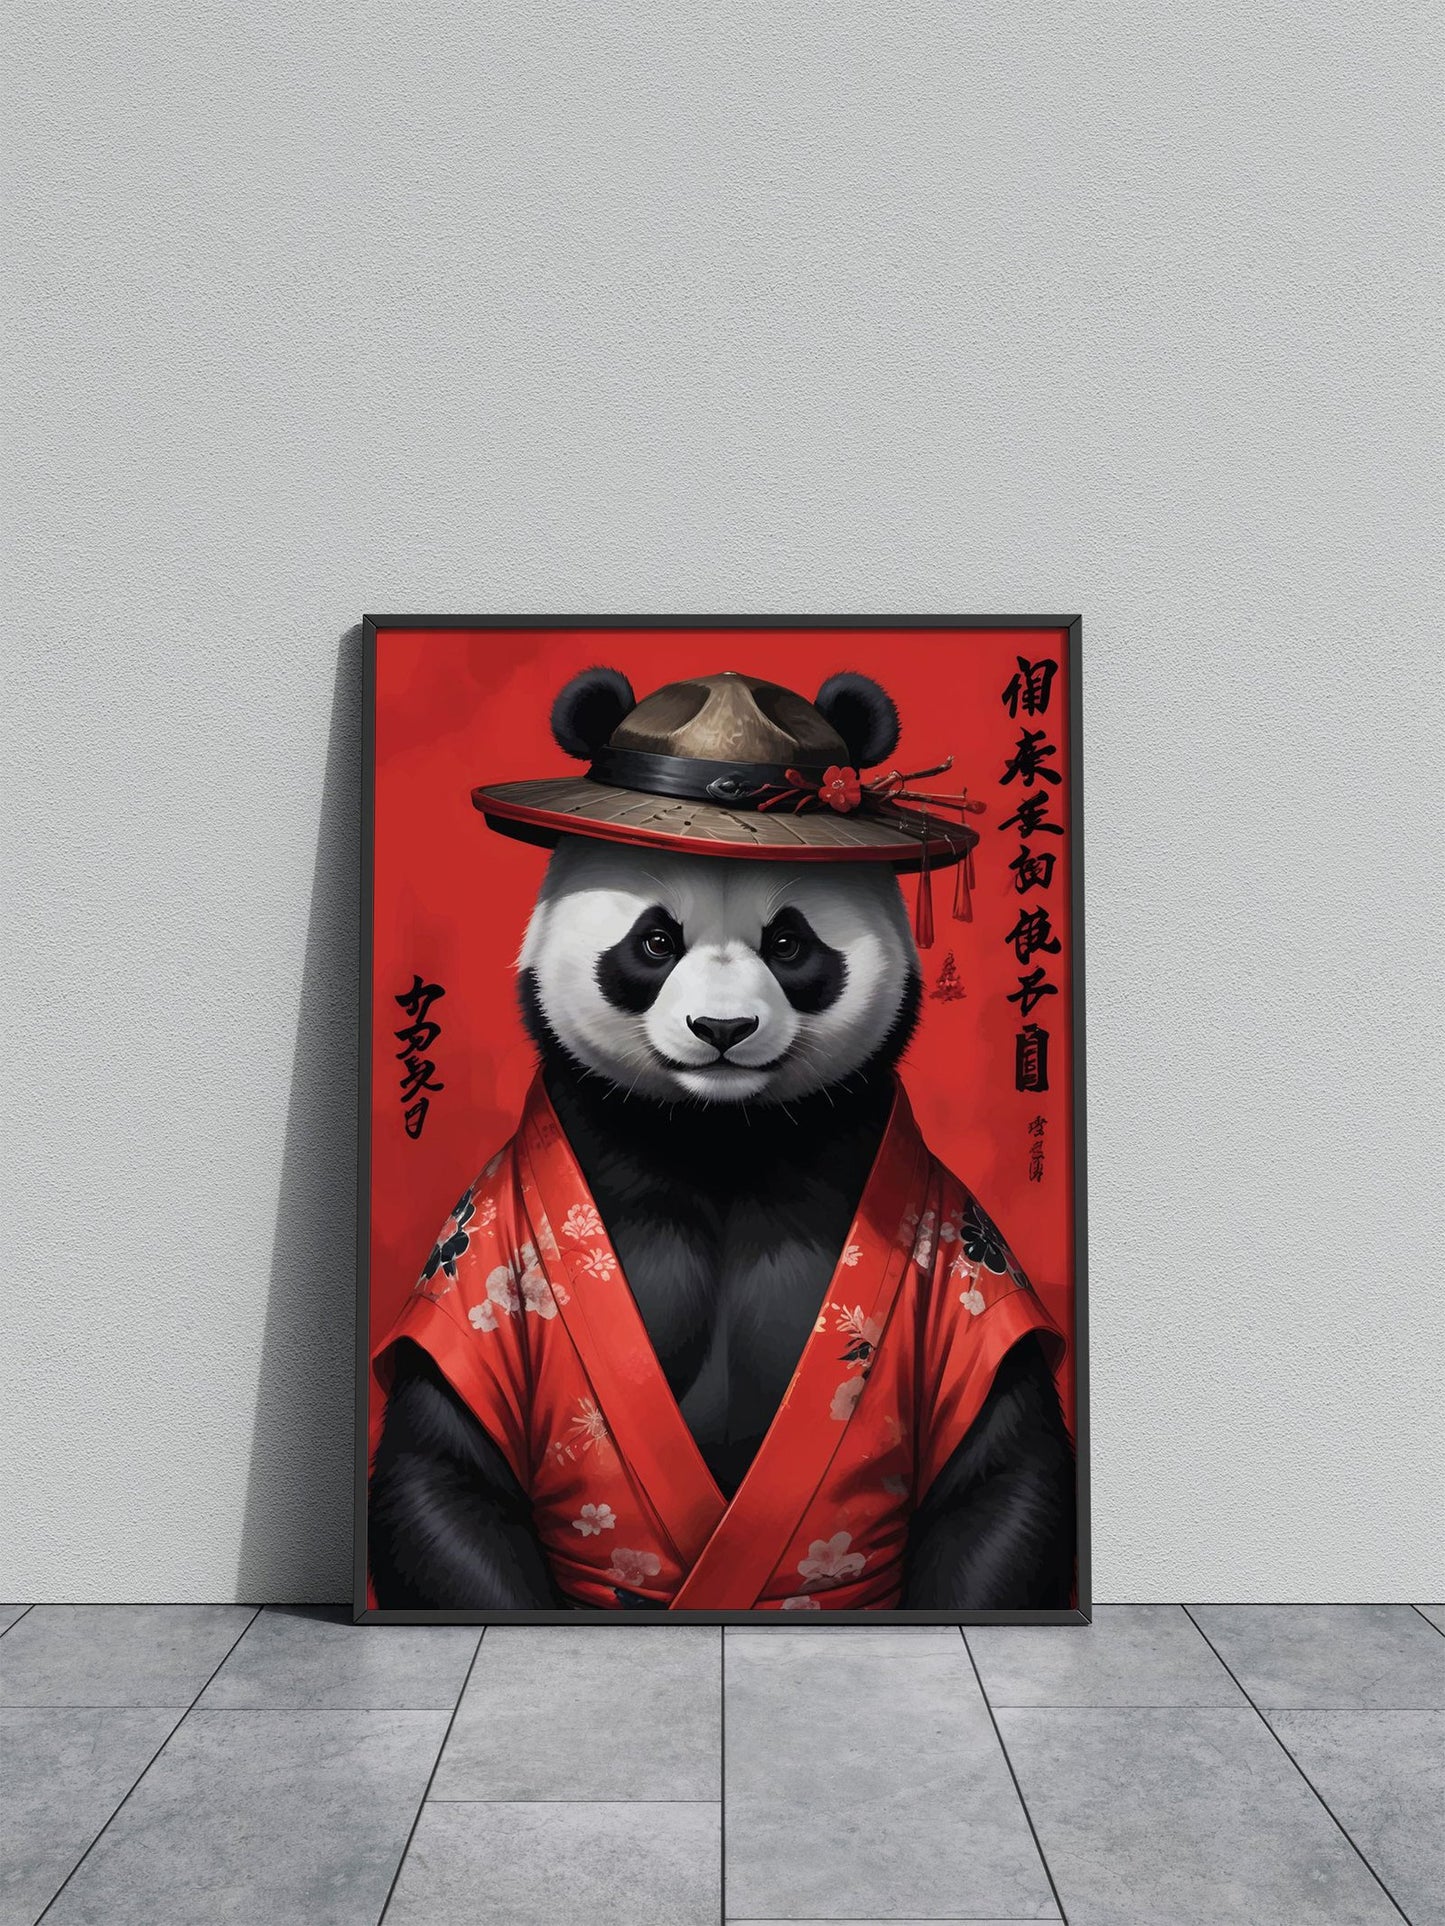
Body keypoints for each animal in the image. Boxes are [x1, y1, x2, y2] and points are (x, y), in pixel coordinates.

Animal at [369, 680, 1076, 1609]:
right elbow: (446, 1477)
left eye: (787, 943)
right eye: (654, 941)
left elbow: (997, 1479)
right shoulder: (484, 1262)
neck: (719, 1137)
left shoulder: (957, 1256)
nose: (722, 1029)